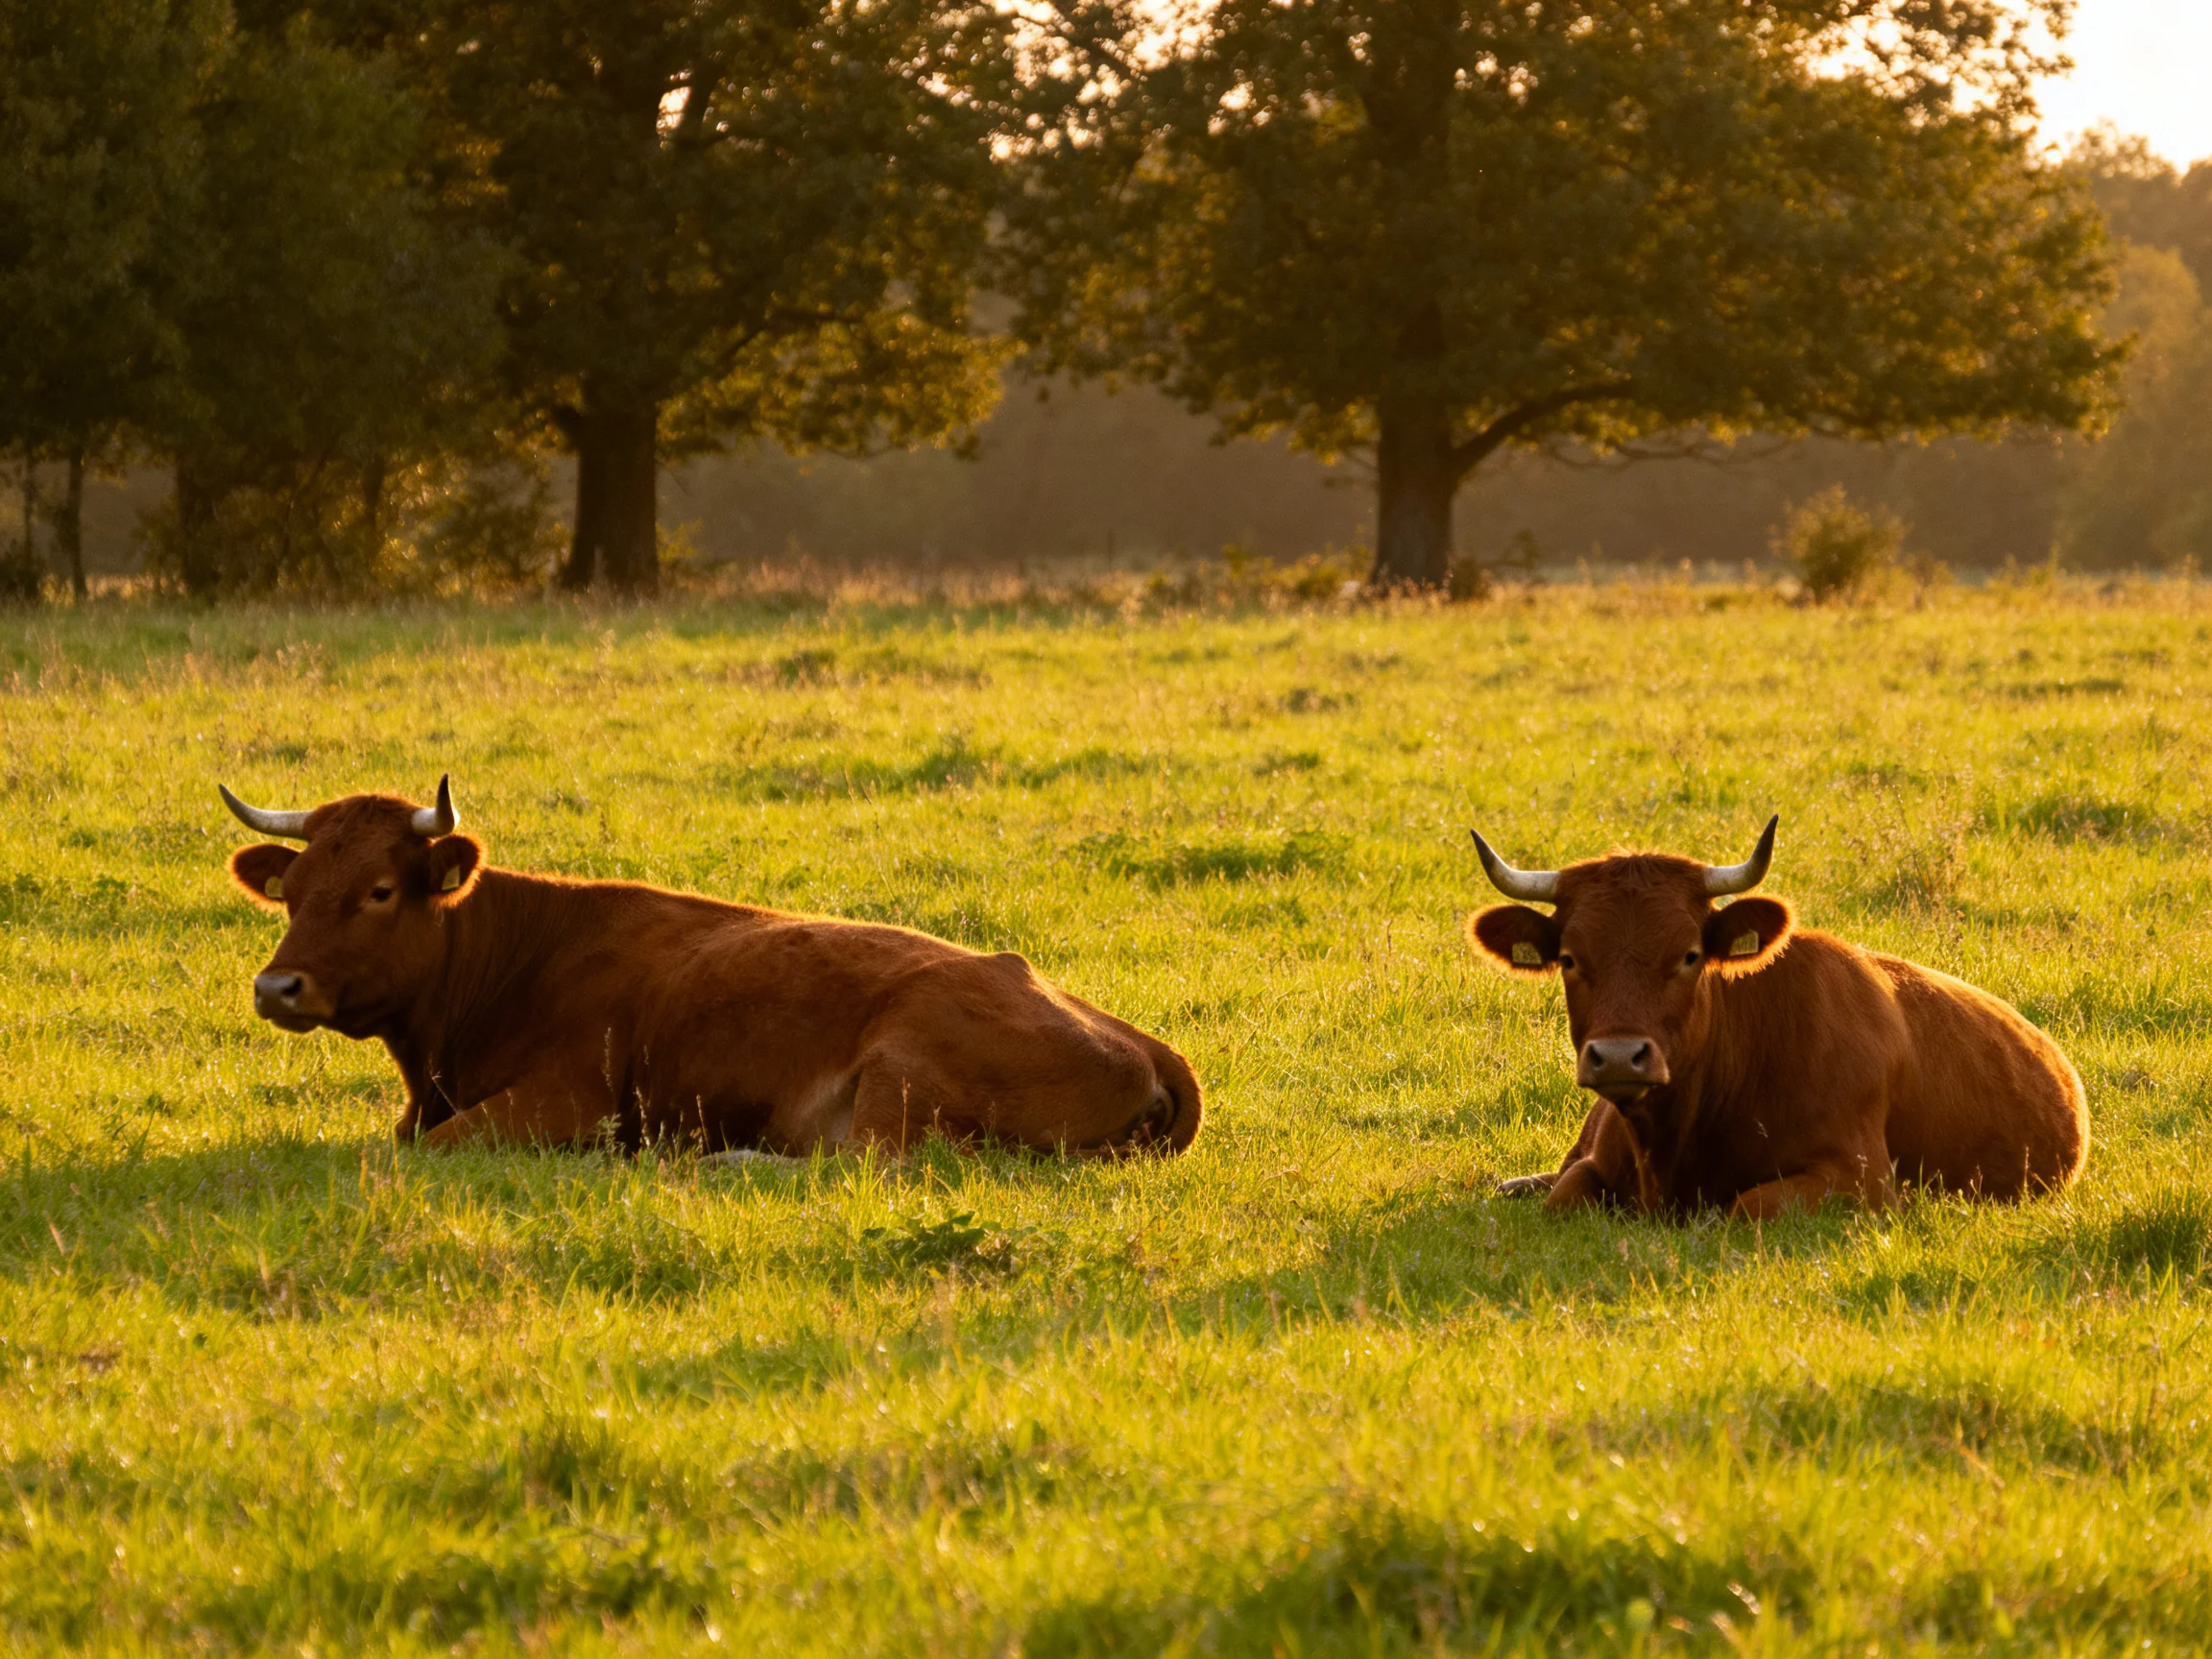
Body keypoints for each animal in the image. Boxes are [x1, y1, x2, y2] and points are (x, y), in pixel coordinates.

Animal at [220, 778, 1202, 1157]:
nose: (276, 987)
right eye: (292, 890)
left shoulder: (567, 1103)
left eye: (380, 890)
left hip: (902, 1066)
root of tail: (1148, 1046)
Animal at [1466, 817, 2087, 1218]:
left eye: (1690, 954)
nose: (1619, 1057)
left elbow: (1746, 1206)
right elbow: (1562, 1198)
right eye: (1570, 958)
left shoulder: (1861, 1179)